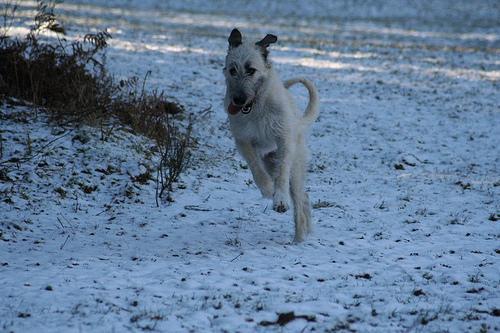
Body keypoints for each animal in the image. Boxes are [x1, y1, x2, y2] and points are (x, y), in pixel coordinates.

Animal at [224, 27, 320, 241]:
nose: (238, 99)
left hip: (296, 164)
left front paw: (280, 200)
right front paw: (268, 188)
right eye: (232, 70)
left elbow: (283, 171)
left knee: (299, 197)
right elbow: (254, 165)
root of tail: (299, 123)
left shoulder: (283, 138)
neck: (256, 107)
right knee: (303, 197)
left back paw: (299, 238)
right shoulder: (242, 139)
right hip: (269, 161)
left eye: (251, 70)